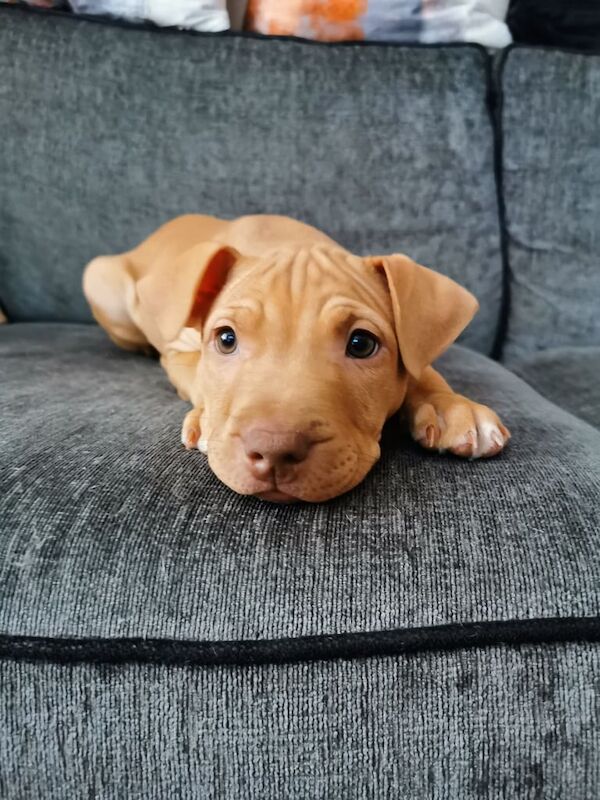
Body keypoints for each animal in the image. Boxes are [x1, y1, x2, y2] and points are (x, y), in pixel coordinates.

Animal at [82, 212, 508, 500]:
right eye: (226, 339)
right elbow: (197, 372)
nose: (274, 451)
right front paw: (206, 419)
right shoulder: (177, 352)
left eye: (361, 344)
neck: (286, 242)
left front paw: (452, 406)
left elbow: (421, 368)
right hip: (101, 279)